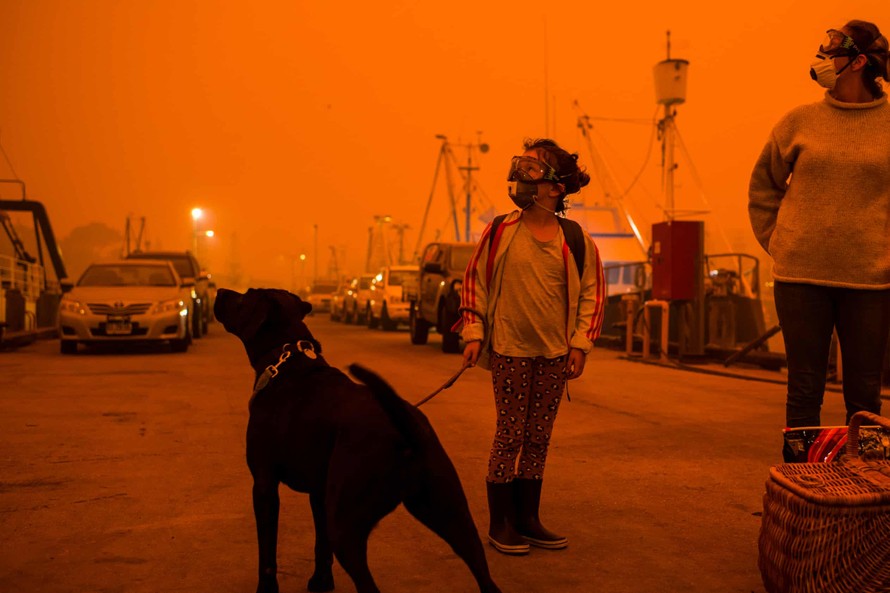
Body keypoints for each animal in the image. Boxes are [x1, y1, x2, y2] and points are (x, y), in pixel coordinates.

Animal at [212, 288, 496, 592]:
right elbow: (321, 545)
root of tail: (406, 430)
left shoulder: (264, 483)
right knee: (484, 573)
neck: (286, 360)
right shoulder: (319, 493)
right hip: (452, 515)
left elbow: (267, 553)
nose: (219, 291)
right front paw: (321, 582)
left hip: (346, 526)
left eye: (246, 296)